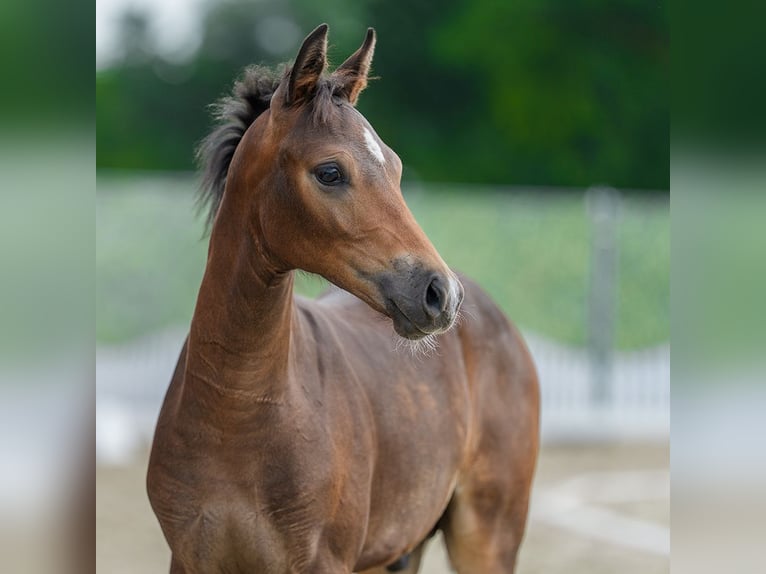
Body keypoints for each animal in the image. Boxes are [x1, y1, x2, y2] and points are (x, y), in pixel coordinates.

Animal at [147, 24, 539, 574]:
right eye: (330, 172)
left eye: (395, 167)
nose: (441, 294)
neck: (237, 413)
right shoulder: (189, 559)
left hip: (485, 535)